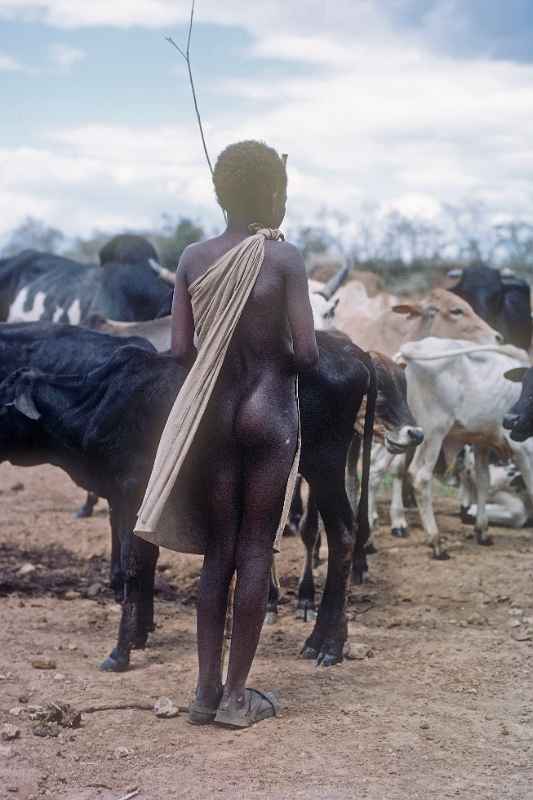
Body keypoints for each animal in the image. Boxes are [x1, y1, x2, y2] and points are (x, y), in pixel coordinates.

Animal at [0, 324, 374, 668]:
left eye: (2, 403)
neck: (99, 403)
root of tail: (354, 353)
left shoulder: (133, 495)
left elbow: (133, 566)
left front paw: (120, 652)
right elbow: (144, 562)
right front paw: (139, 635)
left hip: (324, 464)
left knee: (342, 533)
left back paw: (327, 643)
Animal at [388, 338, 532, 556]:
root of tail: (414, 347)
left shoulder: (481, 441)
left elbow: (483, 480)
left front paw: (482, 531)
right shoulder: (523, 450)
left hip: (408, 435)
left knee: (397, 469)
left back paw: (398, 523)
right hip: (433, 432)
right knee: (420, 477)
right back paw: (436, 541)